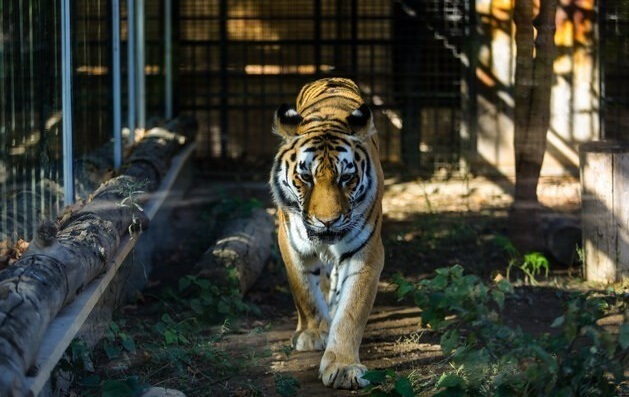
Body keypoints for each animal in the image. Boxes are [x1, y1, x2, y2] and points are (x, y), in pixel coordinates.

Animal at [266, 76, 382, 386]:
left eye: (347, 178)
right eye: (306, 177)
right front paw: (313, 333)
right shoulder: (290, 242)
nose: (328, 221)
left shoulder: (366, 252)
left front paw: (342, 366)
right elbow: (304, 290)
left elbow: (352, 310)